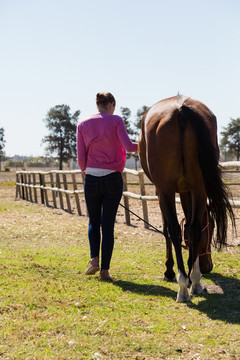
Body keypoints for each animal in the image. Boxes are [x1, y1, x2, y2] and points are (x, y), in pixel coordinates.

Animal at [139, 95, 234, 300]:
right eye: (211, 229)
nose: (208, 267)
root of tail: (181, 109)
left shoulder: (163, 191)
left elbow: (168, 229)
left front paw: (170, 271)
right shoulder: (188, 190)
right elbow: (190, 229)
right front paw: (193, 275)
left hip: (166, 190)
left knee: (174, 229)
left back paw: (183, 284)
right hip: (199, 188)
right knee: (194, 228)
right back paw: (195, 282)